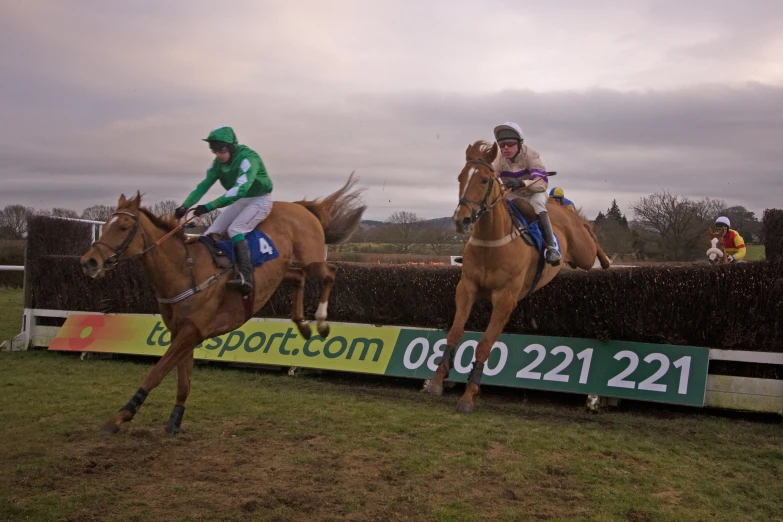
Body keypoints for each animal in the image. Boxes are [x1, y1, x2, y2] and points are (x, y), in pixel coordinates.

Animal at [79, 173, 368, 432]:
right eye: (106, 224)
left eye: (123, 227)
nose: (89, 261)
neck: (185, 270)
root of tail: (299, 206)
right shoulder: (181, 332)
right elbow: (183, 380)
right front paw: (175, 421)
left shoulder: (191, 331)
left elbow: (157, 372)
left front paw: (121, 415)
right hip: (282, 270)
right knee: (298, 278)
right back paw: (303, 324)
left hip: (311, 258)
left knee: (330, 272)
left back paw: (321, 321)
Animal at [422, 140, 612, 412]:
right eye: (460, 177)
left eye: (484, 180)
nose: (461, 220)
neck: (492, 242)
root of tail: (556, 207)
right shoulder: (467, 288)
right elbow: (455, 333)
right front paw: (436, 382)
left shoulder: (505, 299)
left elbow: (484, 345)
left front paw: (469, 395)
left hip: (583, 251)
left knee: (589, 232)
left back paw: (606, 260)